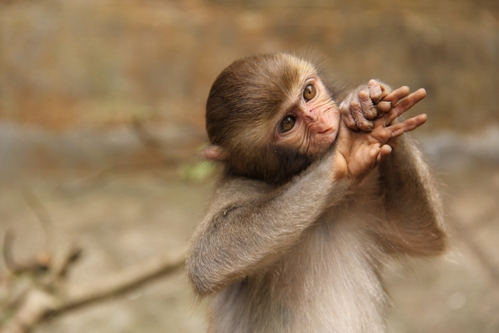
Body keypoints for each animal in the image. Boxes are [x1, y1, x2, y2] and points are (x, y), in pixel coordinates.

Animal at [189, 53, 448, 330]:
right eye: (288, 123)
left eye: (309, 92)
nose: (323, 122)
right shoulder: (235, 185)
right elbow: (208, 257)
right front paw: (346, 151)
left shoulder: (366, 193)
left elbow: (420, 235)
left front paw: (362, 101)